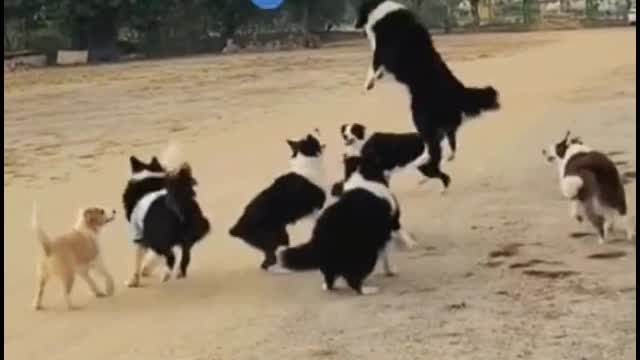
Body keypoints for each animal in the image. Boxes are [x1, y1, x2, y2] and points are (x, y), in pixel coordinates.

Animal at [125, 145, 212, 288]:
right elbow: (153, 257)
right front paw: (146, 269)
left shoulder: (141, 235)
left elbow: (137, 261)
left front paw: (134, 280)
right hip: (190, 236)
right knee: (185, 257)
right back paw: (179, 273)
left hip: (158, 239)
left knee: (172, 257)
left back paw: (166, 275)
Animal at [230, 134, 328, 272]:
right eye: (314, 140)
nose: (315, 131)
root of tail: (238, 227)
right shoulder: (317, 205)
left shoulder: (311, 213)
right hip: (278, 236)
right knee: (270, 262)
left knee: (267, 261)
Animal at [278, 150, 416, 294]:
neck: (362, 178)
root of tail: (319, 239)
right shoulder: (390, 226)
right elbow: (390, 249)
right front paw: (394, 267)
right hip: (365, 253)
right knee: (353, 281)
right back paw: (368, 290)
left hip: (333, 262)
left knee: (330, 280)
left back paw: (327, 286)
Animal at [356, 0, 500, 188]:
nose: (355, 25)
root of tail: (458, 92)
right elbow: (376, 69)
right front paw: (372, 82)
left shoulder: (382, 51)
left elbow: (373, 65)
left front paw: (368, 83)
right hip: (443, 124)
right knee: (450, 141)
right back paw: (447, 157)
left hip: (420, 117)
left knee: (433, 147)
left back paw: (423, 161)